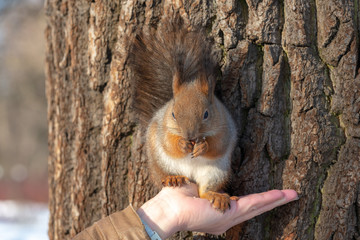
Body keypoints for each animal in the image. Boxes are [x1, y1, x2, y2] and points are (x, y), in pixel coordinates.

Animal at [130, 16, 239, 212]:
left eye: (206, 114)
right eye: (173, 114)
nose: (189, 136)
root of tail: (190, 175)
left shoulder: (225, 127)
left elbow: (218, 144)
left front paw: (203, 146)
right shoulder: (163, 126)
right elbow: (168, 143)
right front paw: (181, 144)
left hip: (216, 172)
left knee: (204, 191)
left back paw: (216, 196)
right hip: (160, 165)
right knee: (163, 176)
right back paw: (173, 178)